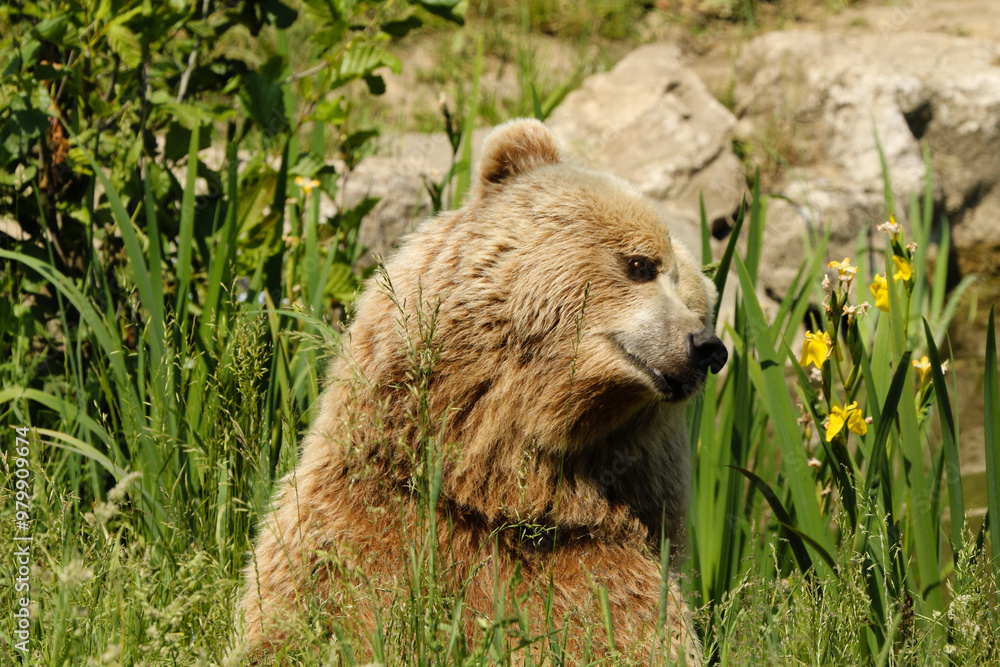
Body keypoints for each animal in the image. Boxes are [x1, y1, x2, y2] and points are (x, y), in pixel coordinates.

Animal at [240, 118, 728, 663]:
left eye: (699, 303)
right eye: (642, 264)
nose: (706, 347)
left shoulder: (599, 553)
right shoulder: (374, 515)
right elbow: (319, 603)